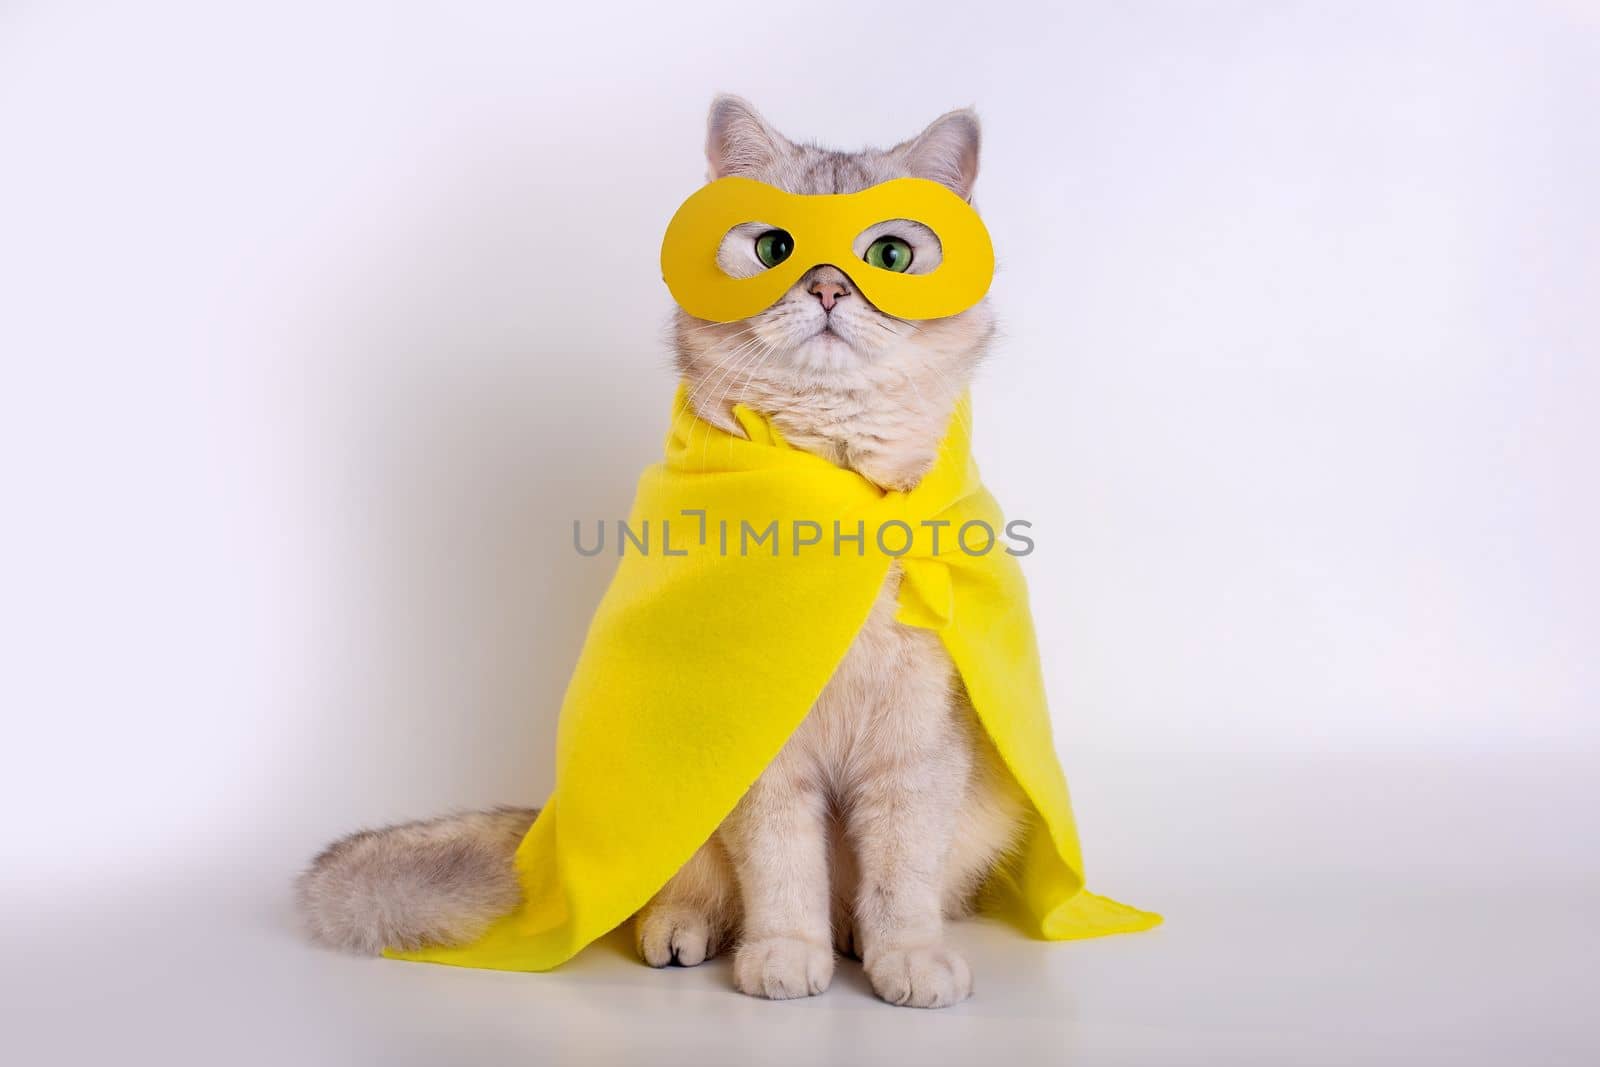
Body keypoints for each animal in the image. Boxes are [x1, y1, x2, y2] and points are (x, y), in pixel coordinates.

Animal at [299, 93, 1024, 1011]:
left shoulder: (917, 745)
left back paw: (854, 939)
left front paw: (906, 956)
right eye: (775, 249)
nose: (827, 287)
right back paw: (684, 933)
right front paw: (785, 957)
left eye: (890, 255)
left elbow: (900, 878)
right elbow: (783, 870)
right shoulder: (758, 746)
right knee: (687, 891)